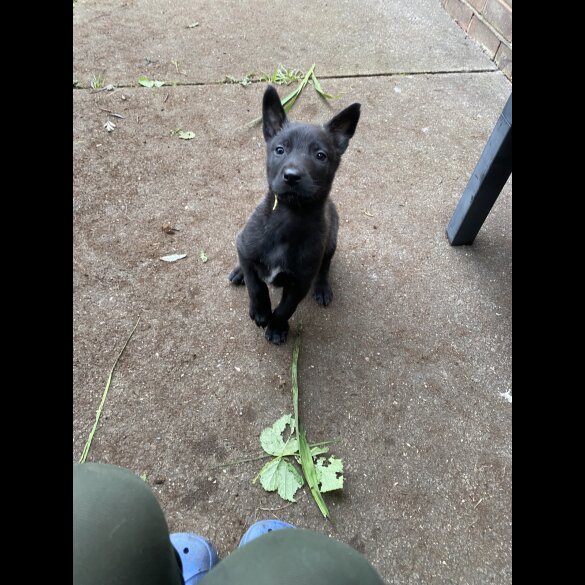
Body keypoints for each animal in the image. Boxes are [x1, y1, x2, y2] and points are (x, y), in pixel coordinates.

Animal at [228, 84, 360, 344]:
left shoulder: (300, 282)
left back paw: (322, 287)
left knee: (325, 266)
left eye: (320, 155)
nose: (291, 176)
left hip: (332, 241)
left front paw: (277, 327)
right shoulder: (246, 247)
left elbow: (286, 307)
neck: (288, 217)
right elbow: (256, 286)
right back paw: (239, 272)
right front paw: (260, 311)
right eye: (280, 150)